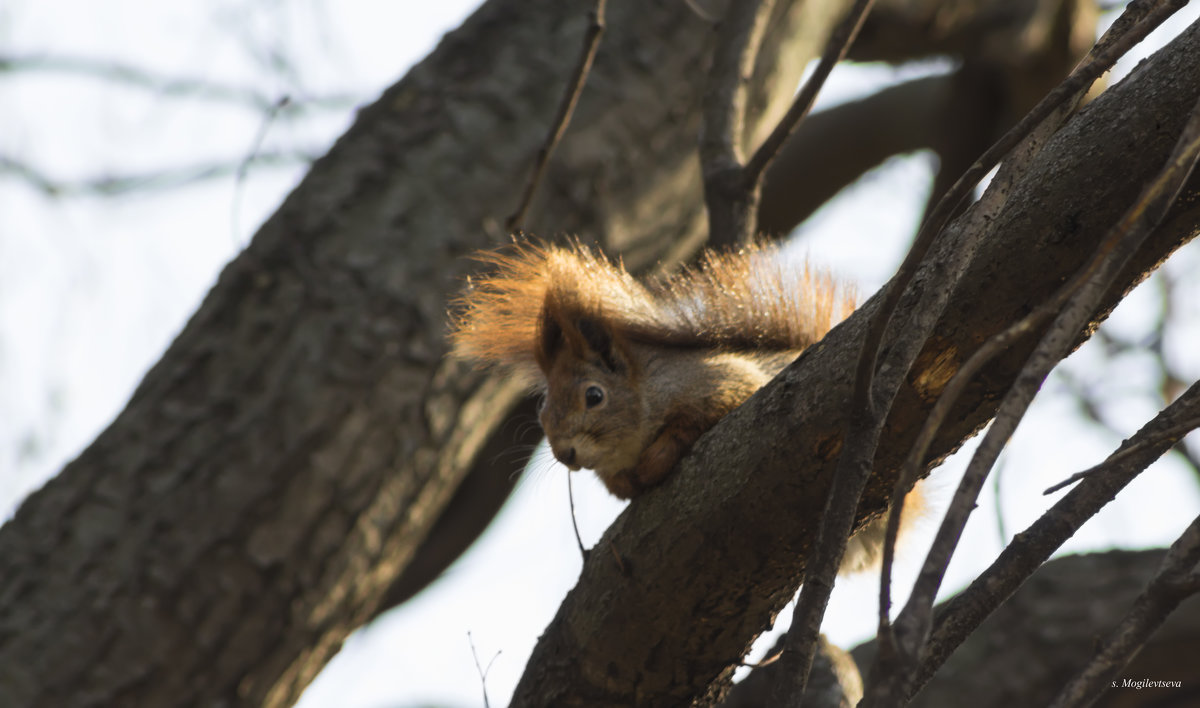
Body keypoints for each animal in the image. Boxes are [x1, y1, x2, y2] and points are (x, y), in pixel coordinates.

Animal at [446, 241, 921, 573]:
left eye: (594, 396)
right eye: (543, 407)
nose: (565, 454)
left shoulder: (724, 384)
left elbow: (694, 422)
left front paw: (657, 458)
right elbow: (616, 482)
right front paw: (626, 482)